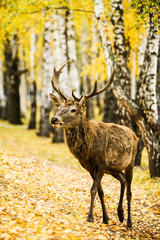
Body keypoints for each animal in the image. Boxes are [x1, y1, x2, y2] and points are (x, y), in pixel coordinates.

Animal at [49, 60, 139, 229]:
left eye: (73, 110)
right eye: (59, 107)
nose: (54, 119)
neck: (88, 151)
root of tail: (135, 135)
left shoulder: (101, 164)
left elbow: (93, 189)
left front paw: (90, 217)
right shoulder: (90, 167)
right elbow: (100, 191)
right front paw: (105, 218)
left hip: (130, 162)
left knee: (130, 191)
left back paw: (129, 222)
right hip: (114, 169)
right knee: (123, 180)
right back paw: (120, 214)